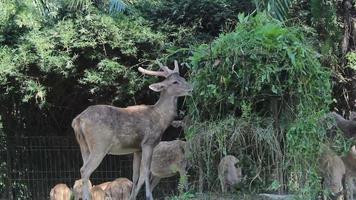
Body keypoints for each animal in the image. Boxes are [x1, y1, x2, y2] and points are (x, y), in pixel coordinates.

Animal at [71, 60, 192, 199]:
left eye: (183, 78)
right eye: (175, 82)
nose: (191, 88)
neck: (161, 118)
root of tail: (78, 120)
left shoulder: (136, 149)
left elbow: (135, 175)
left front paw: (132, 196)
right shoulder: (148, 143)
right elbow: (145, 171)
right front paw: (149, 196)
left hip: (84, 146)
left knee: (84, 169)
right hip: (99, 145)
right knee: (85, 170)